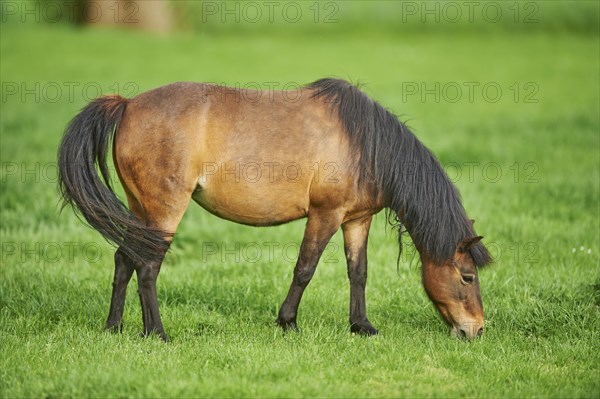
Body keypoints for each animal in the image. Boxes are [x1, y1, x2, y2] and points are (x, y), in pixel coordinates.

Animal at [58, 79, 492, 342]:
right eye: (467, 277)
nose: (478, 330)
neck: (364, 143)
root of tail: (128, 104)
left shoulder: (356, 219)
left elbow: (359, 273)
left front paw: (361, 325)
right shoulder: (325, 214)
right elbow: (305, 269)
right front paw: (288, 322)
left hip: (140, 209)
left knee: (124, 259)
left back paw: (114, 327)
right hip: (165, 210)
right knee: (147, 267)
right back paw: (158, 333)